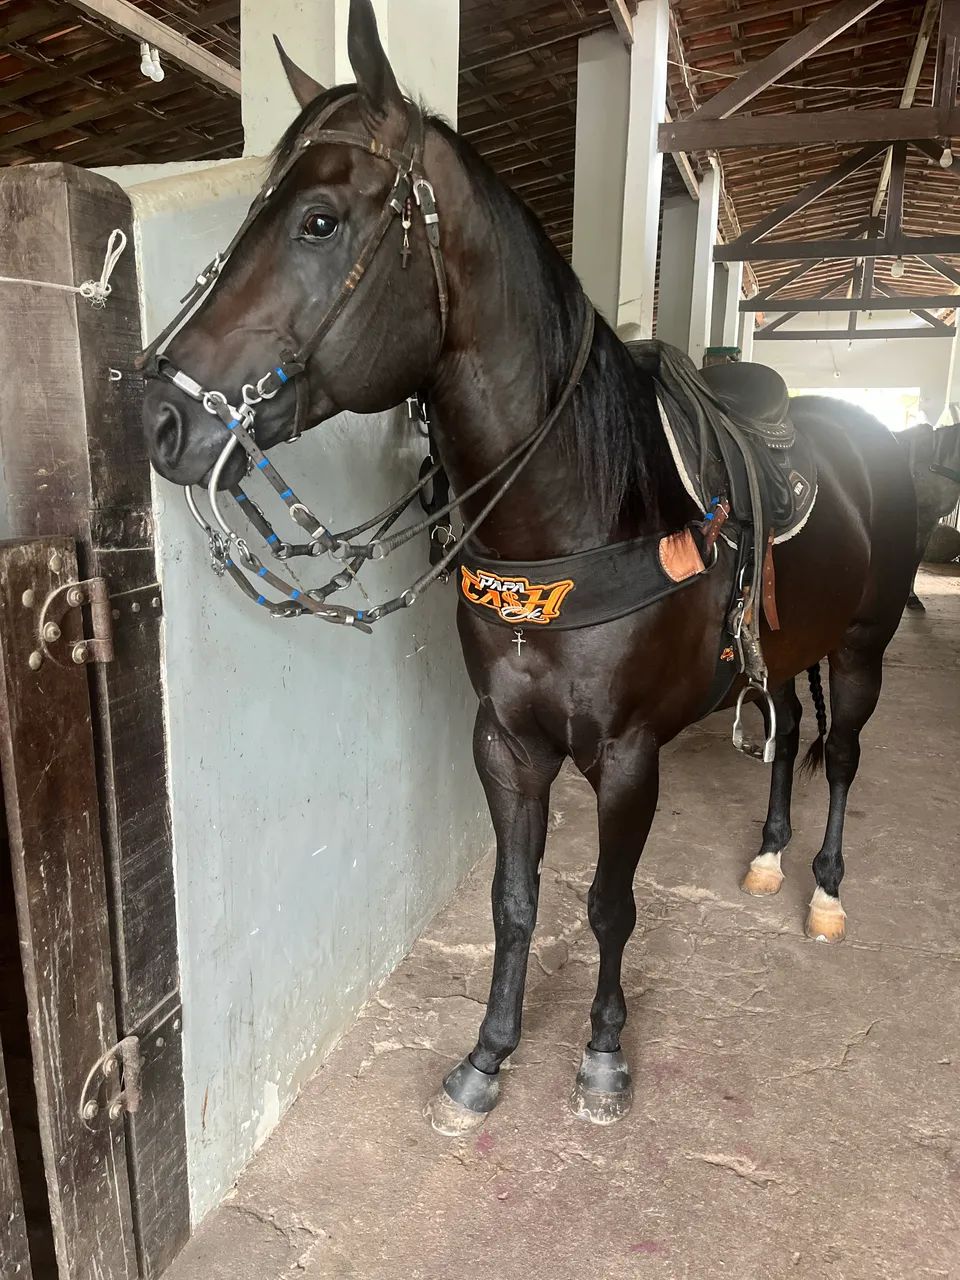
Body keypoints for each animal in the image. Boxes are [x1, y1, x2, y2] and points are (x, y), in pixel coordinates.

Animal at [142, 0, 918, 1134]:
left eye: (319, 221)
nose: (159, 415)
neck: (572, 518)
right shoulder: (506, 741)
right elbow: (515, 900)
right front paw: (486, 1058)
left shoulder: (627, 755)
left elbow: (608, 903)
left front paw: (602, 1056)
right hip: (790, 652)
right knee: (782, 739)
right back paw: (770, 856)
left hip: (864, 650)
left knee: (846, 756)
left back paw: (823, 885)